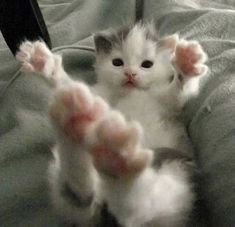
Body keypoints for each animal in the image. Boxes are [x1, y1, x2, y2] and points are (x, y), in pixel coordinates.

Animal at [16, 22, 207, 226]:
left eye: (147, 64)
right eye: (117, 62)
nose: (130, 73)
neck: (130, 94)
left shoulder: (168, 104)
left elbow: (177, 93)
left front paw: (186, 64)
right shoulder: (98, 97)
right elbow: (69, 86)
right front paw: (44, 63)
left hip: (178, 177)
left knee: (135, 209)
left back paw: (120, 162)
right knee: (81, 199)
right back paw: (77, 124)